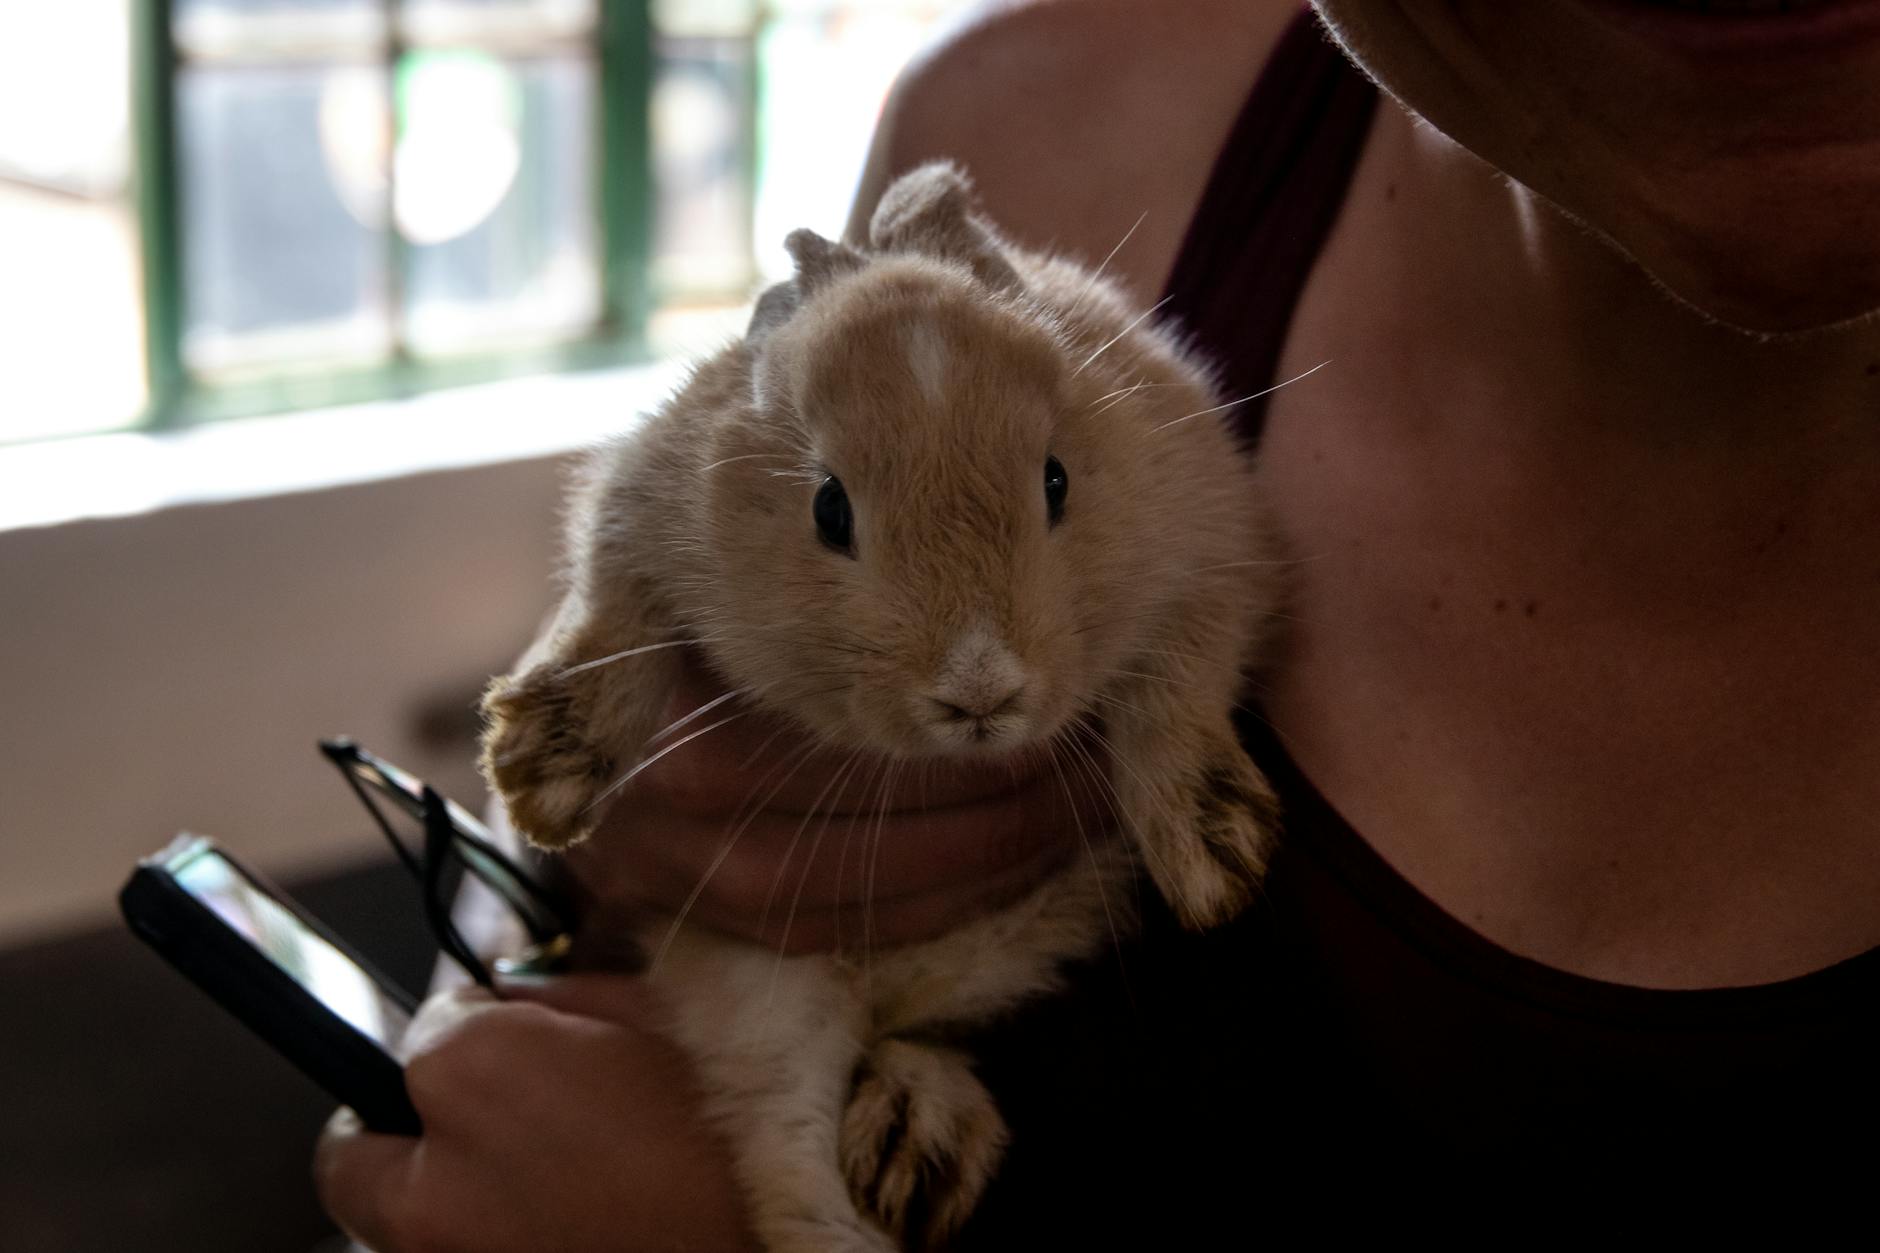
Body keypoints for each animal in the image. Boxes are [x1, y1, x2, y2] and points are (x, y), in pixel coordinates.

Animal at [480, 161, 1283, 1252]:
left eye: (1056, 480)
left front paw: (1214, 861)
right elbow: (611, 623)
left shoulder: (1211, 547)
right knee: (795, 1154)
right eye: (830, 509)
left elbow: (1180, 689)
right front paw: (541, 773)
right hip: (766, 996)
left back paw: (917, 1141)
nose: (980, 686)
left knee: (912, 1035)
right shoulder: (636, 520)